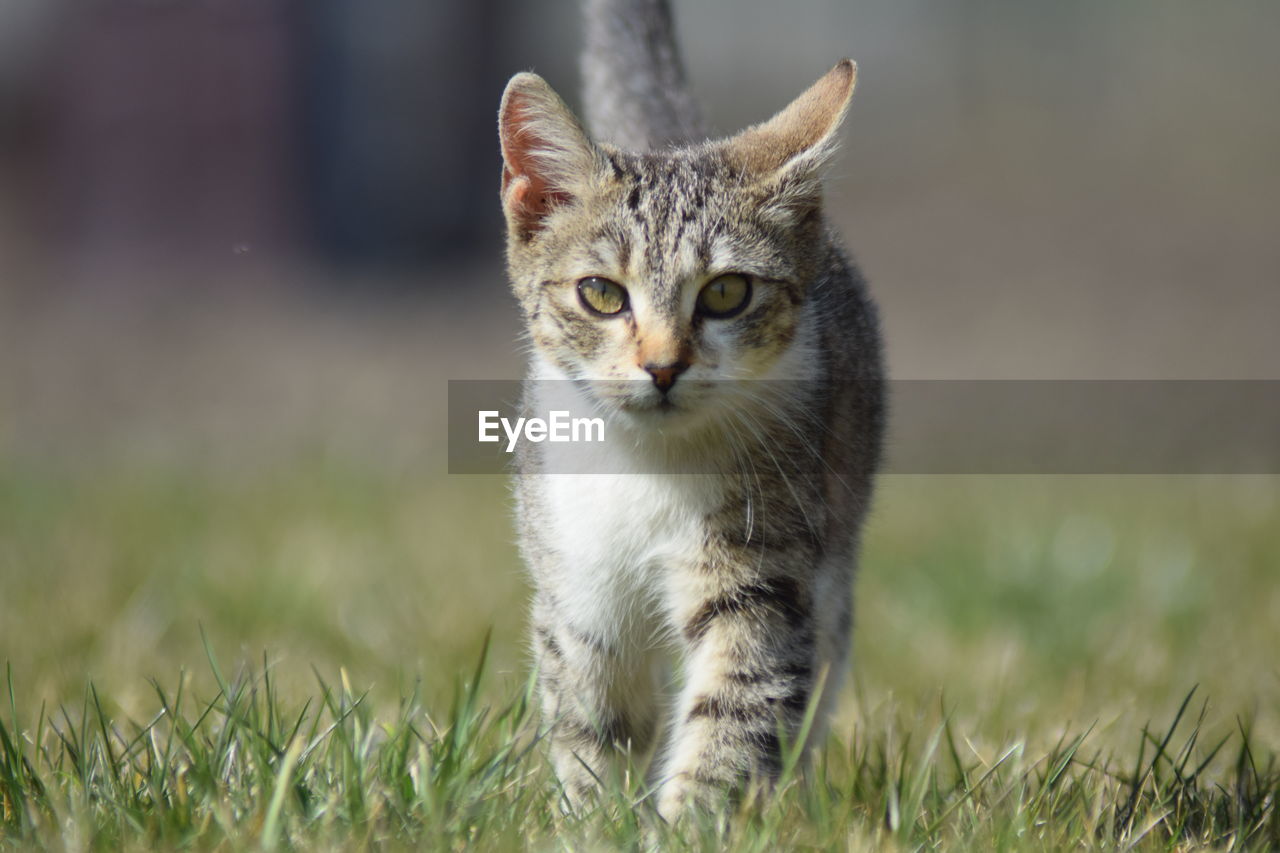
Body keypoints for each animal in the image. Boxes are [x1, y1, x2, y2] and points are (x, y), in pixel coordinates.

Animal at [494, 0, 885, 814]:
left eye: (727, 292)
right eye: (601, 293)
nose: (663, 365)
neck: (648, 469)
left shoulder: (765, 571)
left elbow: (735, 711)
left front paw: (692, 820)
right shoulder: (577, 585)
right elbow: (593, 720)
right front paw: (594, 819)